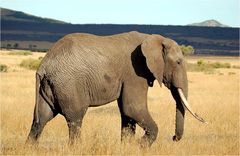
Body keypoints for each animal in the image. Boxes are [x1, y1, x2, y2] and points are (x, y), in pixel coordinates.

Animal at [26, 30, 206, 146]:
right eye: (178, 62)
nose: (174, 137)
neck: (152, 38)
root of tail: (43, 66)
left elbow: (127, 113)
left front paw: (127, 147)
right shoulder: (135, 72)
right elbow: (133, 108)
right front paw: (140, 145)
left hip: (50, 86)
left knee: (41, 119)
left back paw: (30, 148)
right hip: (68, 84)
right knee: (75, 119)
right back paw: (75, 148)